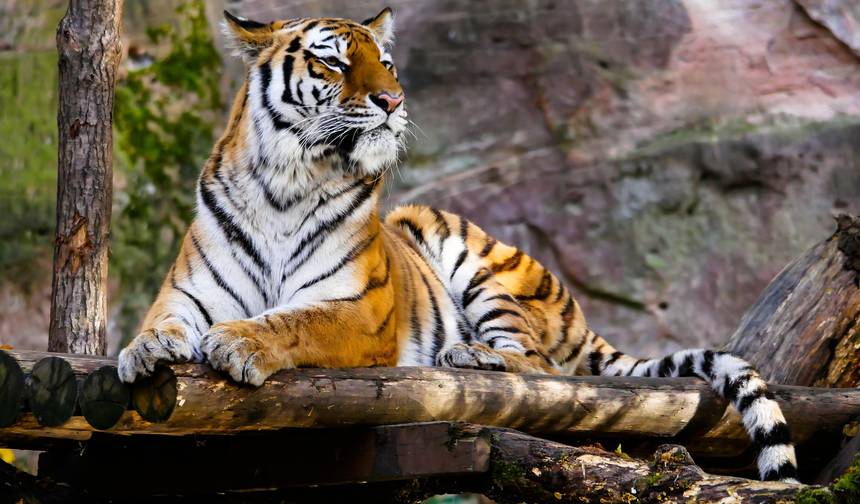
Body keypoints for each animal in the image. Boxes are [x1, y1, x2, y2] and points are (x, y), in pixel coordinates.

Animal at [117, 7, 798, 482]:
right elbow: (162, 322)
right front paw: (142, 351)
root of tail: (580, 316)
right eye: (334, 63)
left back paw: (471, 356)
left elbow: (294, 321)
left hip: (469, 256)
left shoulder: (360, 311)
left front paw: (239, 342)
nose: (392, 100)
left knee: (541, 367)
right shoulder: (188, 292)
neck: (284, 184)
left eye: (386, 64)